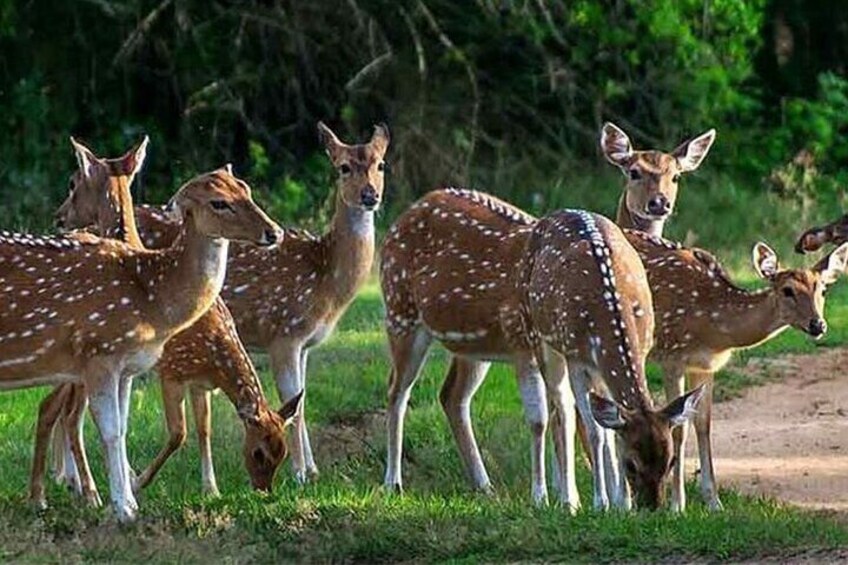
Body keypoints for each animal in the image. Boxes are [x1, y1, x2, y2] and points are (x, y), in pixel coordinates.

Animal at [0, 164, 282, 521]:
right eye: (219, 202)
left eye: (246, 189)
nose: (274, 232)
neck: (151, 296)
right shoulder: (99, 353)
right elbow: (111, 430)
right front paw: (123, 508)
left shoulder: (125, 366)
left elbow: (123, 428)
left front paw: (129, 500)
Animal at [51, 123, 389, 484]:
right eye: (343, 167)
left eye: (381, 164)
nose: (370, 196)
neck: (326, 278)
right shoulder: (284, 334)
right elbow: (291, 402)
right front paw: (301, 475)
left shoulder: (306, 345)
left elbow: (300, 401)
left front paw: (310, 469)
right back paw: (71, 477)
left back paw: (66, 475)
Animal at [623, 230, 848, 511]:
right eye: (787, 290)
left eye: (823, 289)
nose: (818, 325)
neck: (713, 327)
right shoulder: (671, 355)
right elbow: (678, 429)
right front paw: (677, 506)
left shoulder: (705, 365)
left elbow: (703, 424)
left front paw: (714, 502)